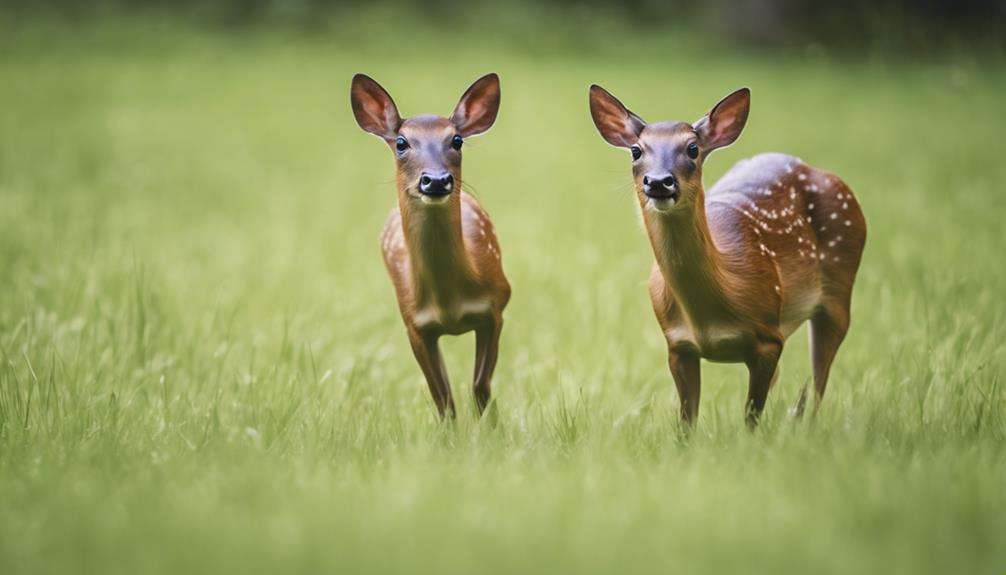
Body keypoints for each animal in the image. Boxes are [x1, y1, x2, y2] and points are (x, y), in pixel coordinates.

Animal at [354, 73, 511, 420]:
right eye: (401, 143)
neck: (450, 304)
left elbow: (480, 387)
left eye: (457, 140)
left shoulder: (495, 307)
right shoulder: (414, 324)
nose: (437, 180)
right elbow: (443, 399)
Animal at [587, 84, 865, 426]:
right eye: (636, 150)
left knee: (818, 385)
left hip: (840, 288)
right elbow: (687, 423)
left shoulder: (769, 339)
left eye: (693, 148)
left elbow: (751, 419)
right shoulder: (677, 345)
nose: (659, 182)